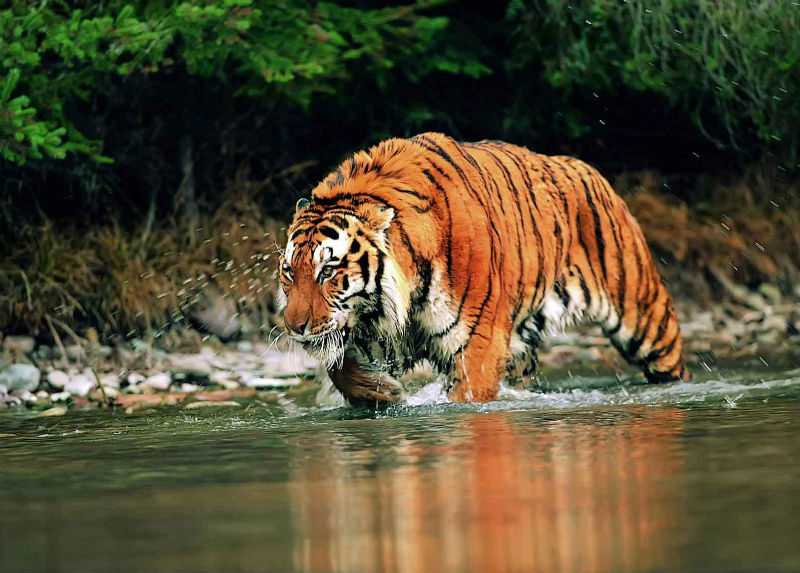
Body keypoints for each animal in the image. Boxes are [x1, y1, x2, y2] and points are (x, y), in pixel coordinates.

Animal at [278, 132, 690, 406]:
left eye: (328, 271)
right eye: (289, 274)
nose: (293, 327)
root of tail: (588, 169)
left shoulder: (477, 345)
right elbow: (338, 366)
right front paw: (382, 392)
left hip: (646, 319)